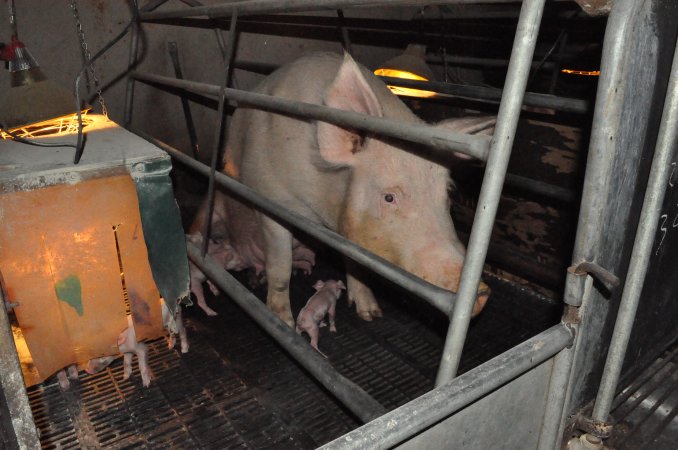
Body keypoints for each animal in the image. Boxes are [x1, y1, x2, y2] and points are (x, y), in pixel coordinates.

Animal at [194, 52, 492, 326]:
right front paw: (282, 322)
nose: (481, 293)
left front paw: (370, 314)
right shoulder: (271, 199)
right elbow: (280, 265)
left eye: (449, 192)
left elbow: (355, 262)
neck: (321, 209)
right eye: (389, 197)